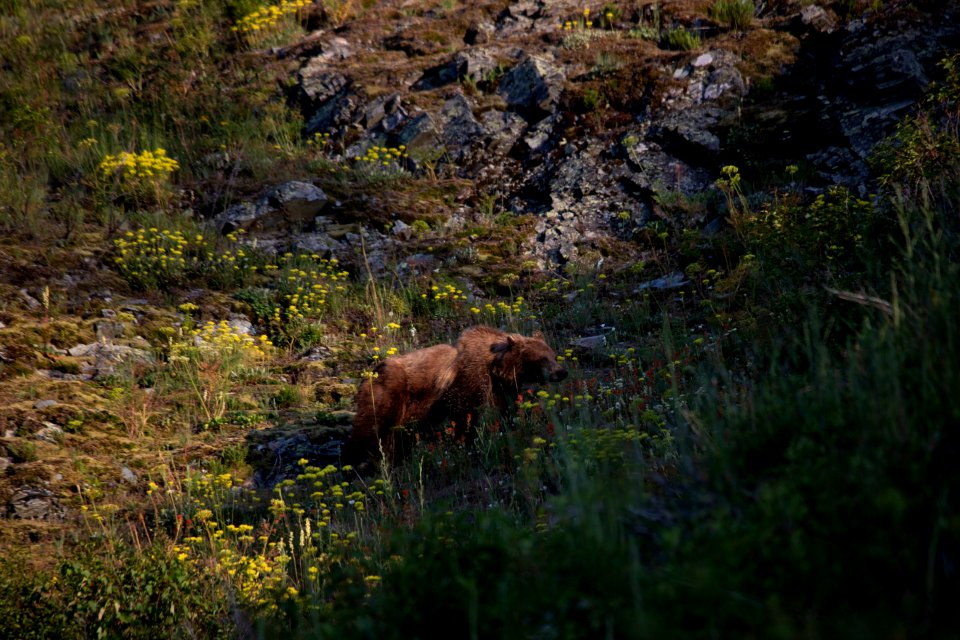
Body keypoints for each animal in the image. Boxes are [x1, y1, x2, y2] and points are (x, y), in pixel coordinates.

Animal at [346, 324, 568, 464]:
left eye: (553, 354)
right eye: (542, 358)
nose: (561, 372)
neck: (497, 366)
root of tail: (369, 373)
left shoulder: (501, 388)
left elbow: (504, 409)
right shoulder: (469, 379)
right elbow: (465, 412)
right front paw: (467, 442)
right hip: (389, 393)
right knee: (373, 428)